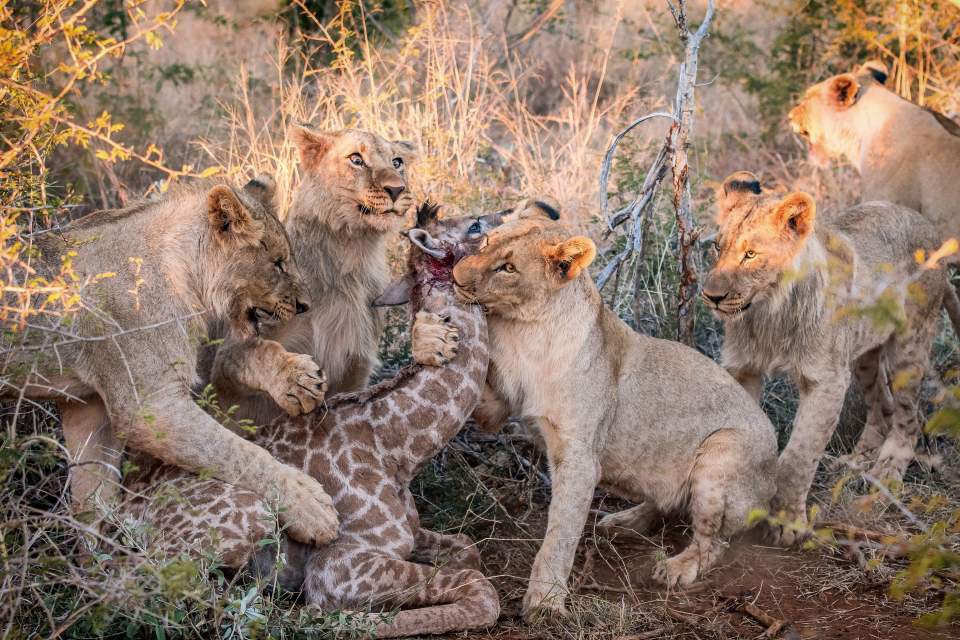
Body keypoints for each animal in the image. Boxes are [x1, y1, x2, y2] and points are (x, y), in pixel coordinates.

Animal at [5, 178, 338, 548]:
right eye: (278, 263)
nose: (305, 305)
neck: (184, 272)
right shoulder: (149, 406)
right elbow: (236, 452)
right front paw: (308, 505)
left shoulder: (87, 407)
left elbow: (93, 500)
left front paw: (106, 559)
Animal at [452, 218, 780, 616]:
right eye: (485, 242)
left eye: (508, 268)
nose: (454, 275)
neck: (523, 332)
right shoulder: (496, 408)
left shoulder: (579, 457)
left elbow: (560, 532)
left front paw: (545, 601)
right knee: (667, 500)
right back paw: (624, 521)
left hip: (723, 450)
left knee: (712, 541)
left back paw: (675, 567)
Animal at [700, 171, 948, 544]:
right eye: (717, 246)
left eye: (751, 254)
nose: (711, 296)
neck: (769, 312)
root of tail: (927, 225)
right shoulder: (743, 368)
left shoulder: (826, 379)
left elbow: (798, 455)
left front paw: (787, 524)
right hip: (861, 354)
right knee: (881, 406)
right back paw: (856, 462)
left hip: (909, 344)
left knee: (908, 418)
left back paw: (885, 477)